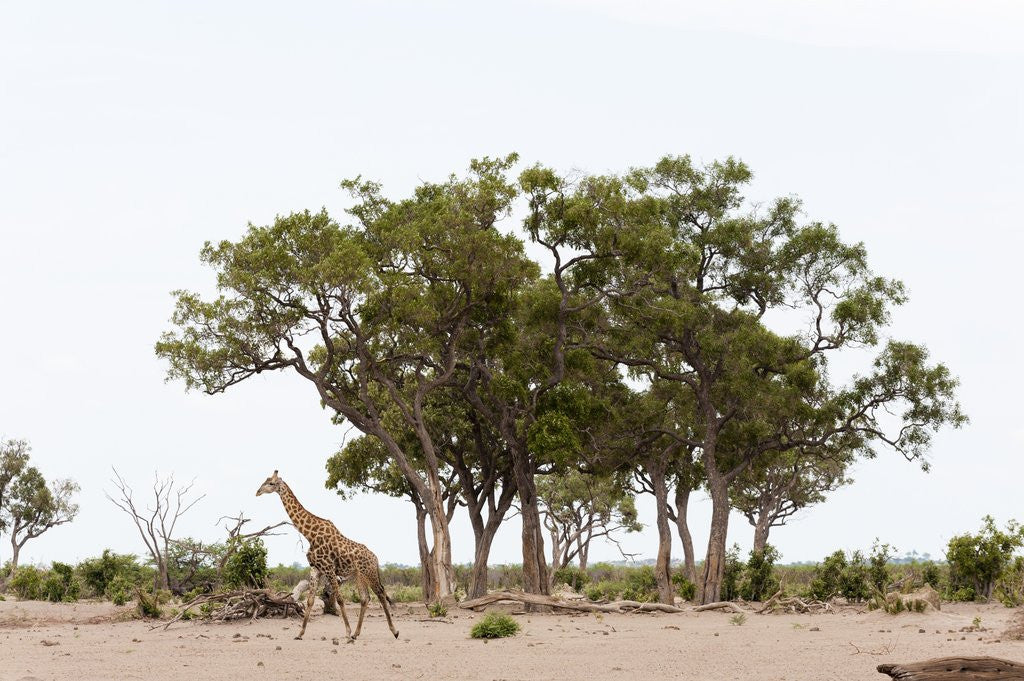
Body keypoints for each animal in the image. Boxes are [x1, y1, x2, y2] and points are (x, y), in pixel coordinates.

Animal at [256, 470, 399, 641]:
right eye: (265, 481)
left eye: (271, 483)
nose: (257, 492)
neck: (309, 534)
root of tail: (376, 558)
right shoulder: (315, 569)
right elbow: (310, 600)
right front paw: (300, 633)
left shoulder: (329, 568)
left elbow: (340, 599)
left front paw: (347, 632)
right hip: (359, 575)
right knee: (365, 598)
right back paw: (357, 633)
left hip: (369, 572)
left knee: (381, 594)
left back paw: (394, 631)